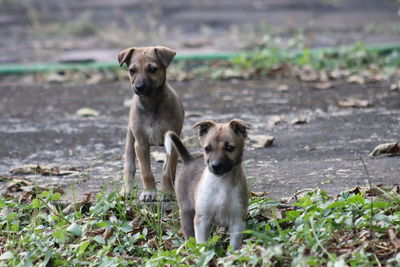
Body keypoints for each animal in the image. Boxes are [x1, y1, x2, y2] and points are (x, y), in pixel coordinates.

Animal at [116, 46, 184, 202]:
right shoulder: (140, 144)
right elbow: (146, 171)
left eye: (152, 69)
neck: (151, 103)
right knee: (129, 166)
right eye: (132, 70)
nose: (139, 87)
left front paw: (167, 192)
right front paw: (149, 192)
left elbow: (168, 171)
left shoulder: (172, 143)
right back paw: (126, 190)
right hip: (130, 139)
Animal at [164, 119, 248, 251]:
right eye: (207, 148)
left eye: (229, 148)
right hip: (186, 212)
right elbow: (201, 243)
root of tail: (189, 160)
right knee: (189, 235)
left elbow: (233, 247)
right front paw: (202, 253)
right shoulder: (202, 219)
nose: (215, 166)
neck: (222, 183)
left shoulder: (237, 222)